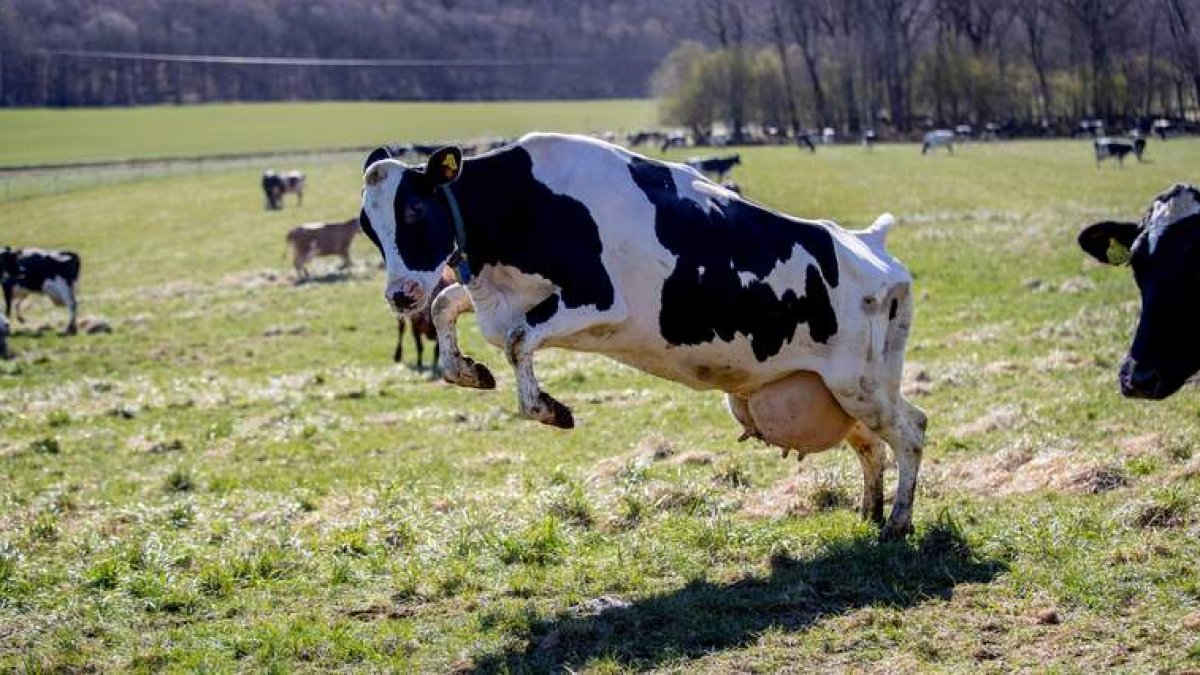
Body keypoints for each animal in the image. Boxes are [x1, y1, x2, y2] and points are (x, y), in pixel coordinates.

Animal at [358, 133, 927, 539]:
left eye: (414, 210)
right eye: (368, 226)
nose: (399, 295)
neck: (524, 203)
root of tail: (869, 243)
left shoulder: (597, 299)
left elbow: (519, 340)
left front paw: (550, 409)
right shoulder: (494, 299)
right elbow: (447, 306)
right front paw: (469, 371)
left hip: (861, 383)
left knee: (912, 430)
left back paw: (898, 523)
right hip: (836, 389)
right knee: (871, 445)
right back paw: (870, 512)